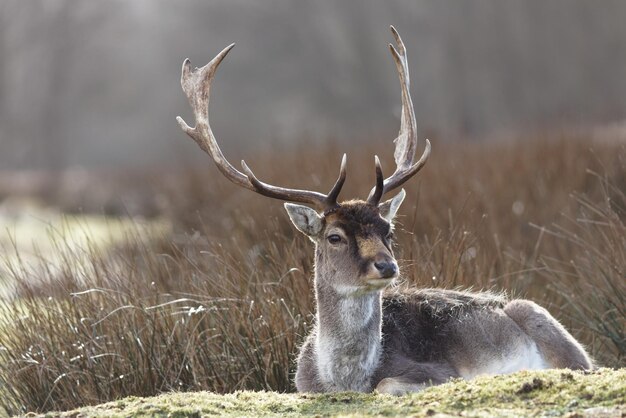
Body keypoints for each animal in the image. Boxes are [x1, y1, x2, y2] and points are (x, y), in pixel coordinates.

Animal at [176, 27, 588, 396]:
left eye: (387, 229)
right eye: (334, 236)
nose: (386, 265)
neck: (342, 380)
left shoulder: (441, 371)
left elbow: (387, 384)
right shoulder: (300, 387)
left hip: (553, 331)